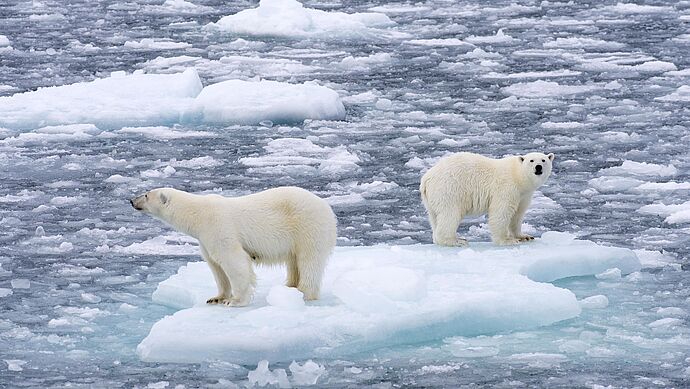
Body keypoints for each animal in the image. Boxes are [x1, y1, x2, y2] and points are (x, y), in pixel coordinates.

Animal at [130, 186, 338, 306]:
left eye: (146, 195)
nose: (131, 200)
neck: (198, 215)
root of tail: (327, 208)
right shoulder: (205, 240)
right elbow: (216, 266)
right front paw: (216, 298)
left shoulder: (219, 228)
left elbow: (234, 261)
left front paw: (236, 301)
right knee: (294, 262)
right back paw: (289, 287)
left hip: (308, 227)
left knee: (309, 260)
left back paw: (304, 293)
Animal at [416, 152, 552, 246]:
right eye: (531, 160)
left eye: (543, 160)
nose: (538, 167)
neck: (518, 176)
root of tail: (426, 179)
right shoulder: (506, 187)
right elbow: (501, 212)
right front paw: (507, 240)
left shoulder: (523, 195)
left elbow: (517, 215)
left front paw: (525, 236)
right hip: (449, 190)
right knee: (450, 215)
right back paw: (457, 241)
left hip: (432, 199)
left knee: (434, 217)